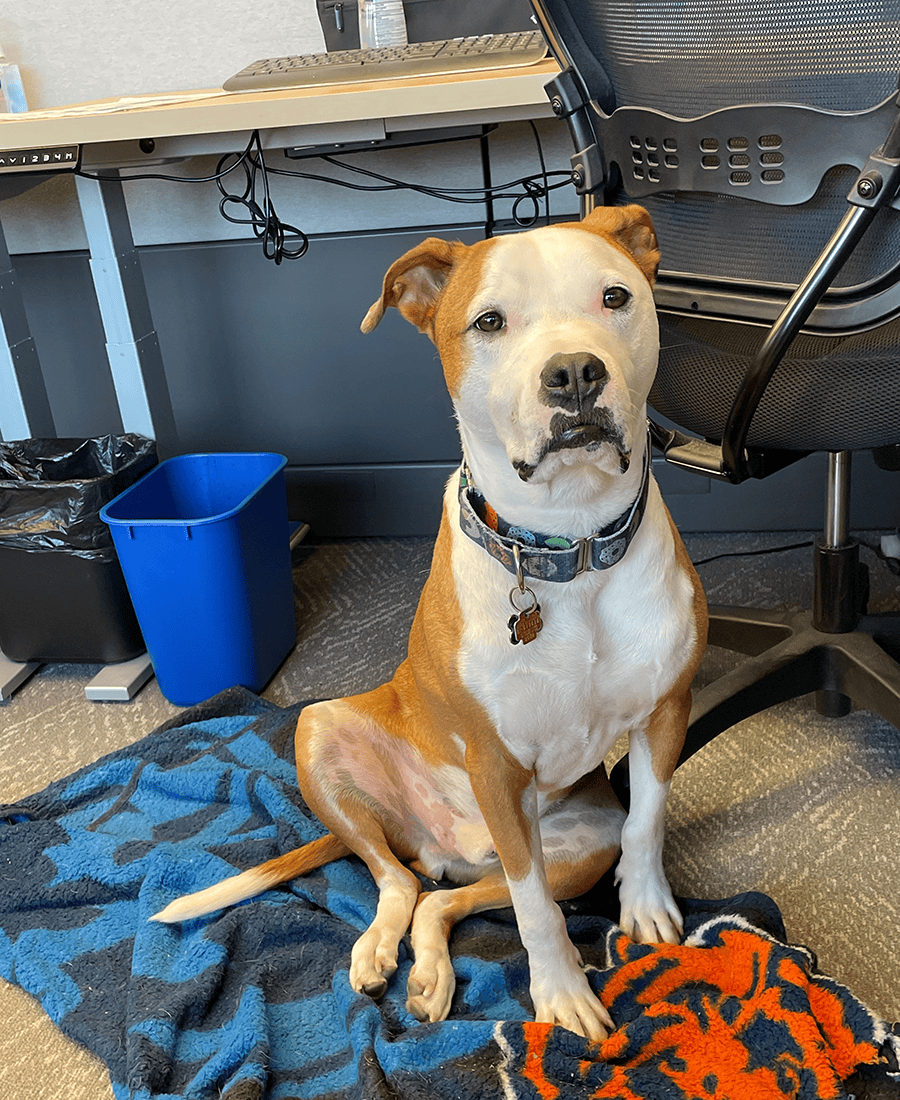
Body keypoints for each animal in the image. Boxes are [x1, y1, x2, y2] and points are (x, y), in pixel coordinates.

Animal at [150, 204, 704, 1038]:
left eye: (615, 297)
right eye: (489, 321)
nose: (575, 372)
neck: (566, 545)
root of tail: (451, 844)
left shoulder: (665, 711)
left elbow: (647, 821)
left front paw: (645, 909)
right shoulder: (496, 764)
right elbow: (537, 915)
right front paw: (561, 993)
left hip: (573, 849)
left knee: (442, 899)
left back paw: (431, 972)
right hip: (327, 734)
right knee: (397, 880)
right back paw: (379, 949)